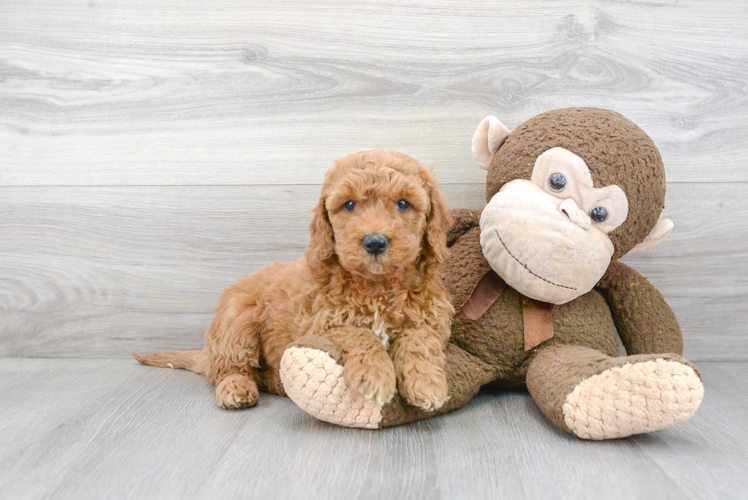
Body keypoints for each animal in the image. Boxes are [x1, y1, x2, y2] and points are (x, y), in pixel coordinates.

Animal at [135, 150, 452, 412]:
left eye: (403, 204)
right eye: (349, 205)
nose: (375, 242)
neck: (377, 285)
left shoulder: (431, 318)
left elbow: (420, 337)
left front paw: (427, 383)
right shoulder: (319, 325)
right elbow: (358, 333)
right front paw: (374, 376)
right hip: (237, 319)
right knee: (230, 368)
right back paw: (236, 389)